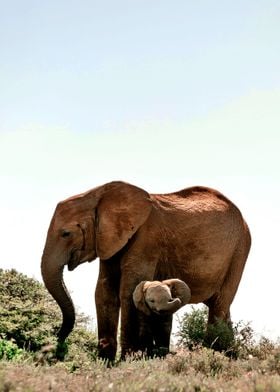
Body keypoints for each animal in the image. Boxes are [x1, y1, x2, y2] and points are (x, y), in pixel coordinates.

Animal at [40, 181, 250, 362]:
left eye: (66, 234)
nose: (57, 338)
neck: (98, 196)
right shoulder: (109, 242)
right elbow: (104, 291)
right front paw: (105, 362)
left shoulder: (147, 238)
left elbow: (127, 290)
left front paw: (127, 361)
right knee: (221, 306)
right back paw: (230, 356)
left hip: (239, 251)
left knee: (220, 305)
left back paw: (216, 356)